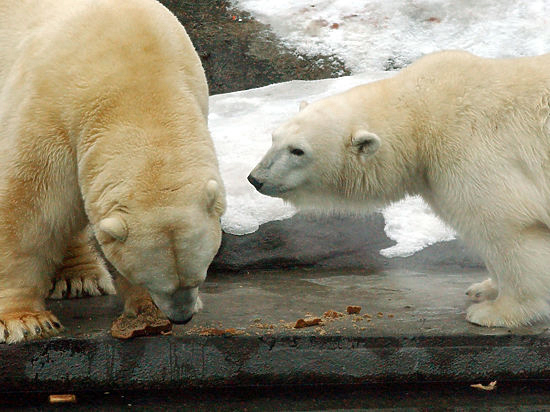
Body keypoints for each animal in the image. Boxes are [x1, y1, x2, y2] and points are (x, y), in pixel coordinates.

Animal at [0, 0, 226, 344]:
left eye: (198, 277)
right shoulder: (47, 117)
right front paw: (25, 321)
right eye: (157, 283)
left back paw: (80, 276)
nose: (182, 316)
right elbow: (28, 213)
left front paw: (146, 313)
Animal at [251, 50, 550, 328]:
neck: (424, 111)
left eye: (298, 150)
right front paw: (483, 288)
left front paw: (496, 311)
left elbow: (506, 226)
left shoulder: (471, 150)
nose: (255, 178)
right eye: (274, 138)